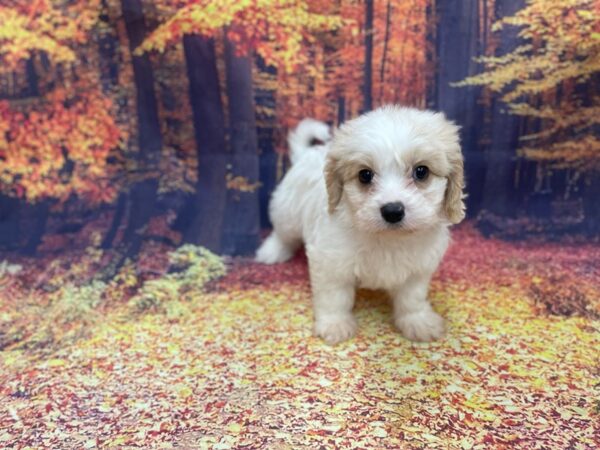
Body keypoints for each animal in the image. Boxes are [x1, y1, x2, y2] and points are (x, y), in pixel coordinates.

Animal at [255, 105, 466, 344]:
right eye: (365, 175)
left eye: (421, 171)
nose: (393, 211)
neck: (388, 239)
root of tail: (306, 155)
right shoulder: (330, 262)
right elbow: (334, 297)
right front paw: (334, 324)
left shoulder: (418, 268)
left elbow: (412, 297)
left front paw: (418, 321)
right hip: (287, 211)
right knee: (283, 234)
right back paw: (272, 251)